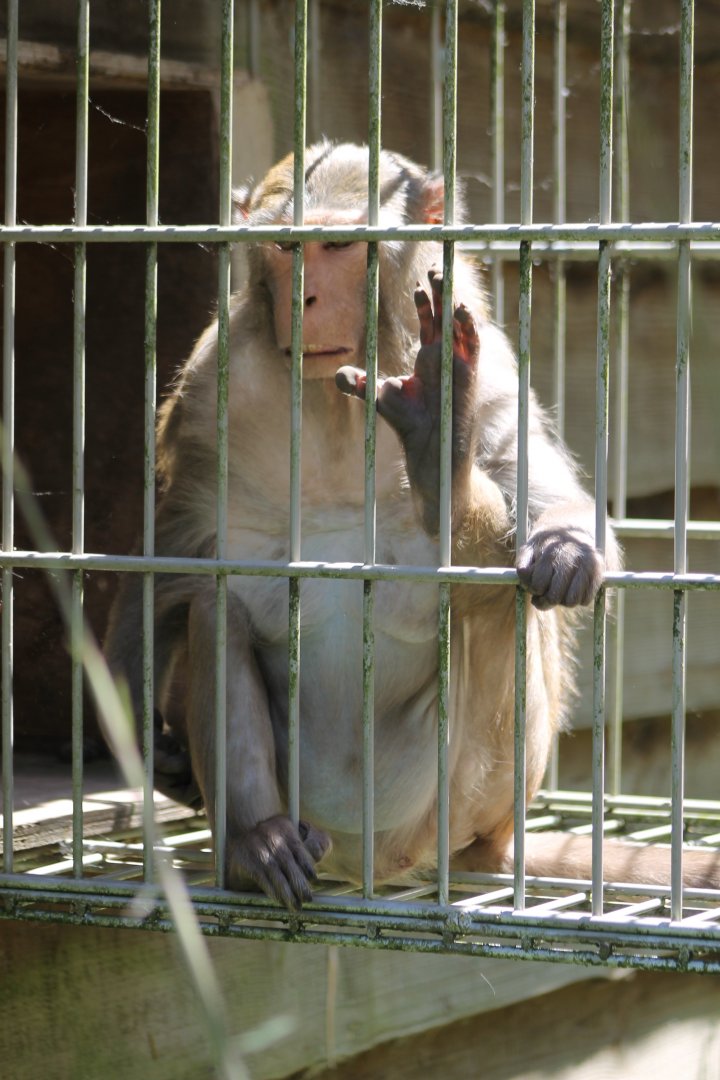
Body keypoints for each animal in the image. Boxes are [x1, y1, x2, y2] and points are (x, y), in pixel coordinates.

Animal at [105, 141, 720, 909]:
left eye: (339, 247)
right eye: (286, 247)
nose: (303, 299)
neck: (337, 407)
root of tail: (372, 865)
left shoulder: (494, 372)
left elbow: (553, 508)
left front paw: (564, 545)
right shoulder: (209, 389)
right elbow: (172, 561)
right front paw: (142, 734)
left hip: (465, 801)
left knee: (498, 603)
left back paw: (440, 464)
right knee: (216, 606)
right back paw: (257, 844)